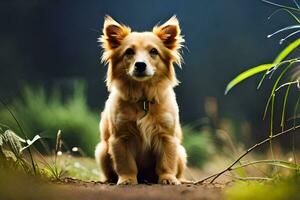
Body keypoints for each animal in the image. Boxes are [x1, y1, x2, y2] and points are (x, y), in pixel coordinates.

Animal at [95, 15, 186, 184]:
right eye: (129, 52)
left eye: (154, 51)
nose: (140, 65)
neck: (143, 98)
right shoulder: (120, 138)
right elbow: (125, 164)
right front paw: (127, 179)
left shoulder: (167, 137)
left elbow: (166, 161)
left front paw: (168, 178)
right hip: (102, 151)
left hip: (182, 153)